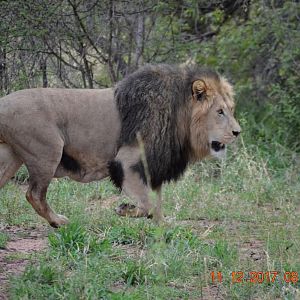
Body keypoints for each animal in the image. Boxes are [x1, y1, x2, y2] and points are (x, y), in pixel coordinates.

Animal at [0, 64, 240, 226]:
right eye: (219, 112)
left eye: (230, 109)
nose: (237, 132)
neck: (180, 117)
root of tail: (3, 103)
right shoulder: (127, 161)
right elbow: (146, 204)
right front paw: (124, 210)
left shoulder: (155, 166)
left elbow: (157, 204)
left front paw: (164, 225)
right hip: (47, 152)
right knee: (35, 194)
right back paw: (58, 221)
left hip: (11, 157)